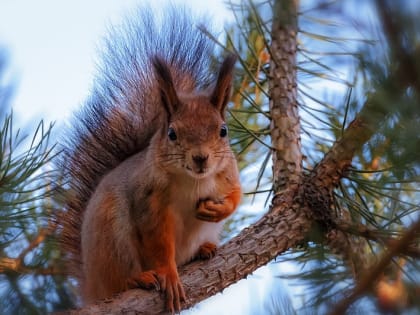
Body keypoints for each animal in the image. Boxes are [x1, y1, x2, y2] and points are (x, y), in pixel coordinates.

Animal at [59, 6, 243, 314]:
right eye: (172, 133)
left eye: (223, 131)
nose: (201, 158)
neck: (193, 181)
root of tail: (91, 287)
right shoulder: (149, 201)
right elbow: (159, 244)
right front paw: (168, 273)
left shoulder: (227, 173)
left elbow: (237, 195)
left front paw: (218, 209)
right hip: (112, 235)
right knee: (120, 280)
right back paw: (139, 278)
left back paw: (204, 249)